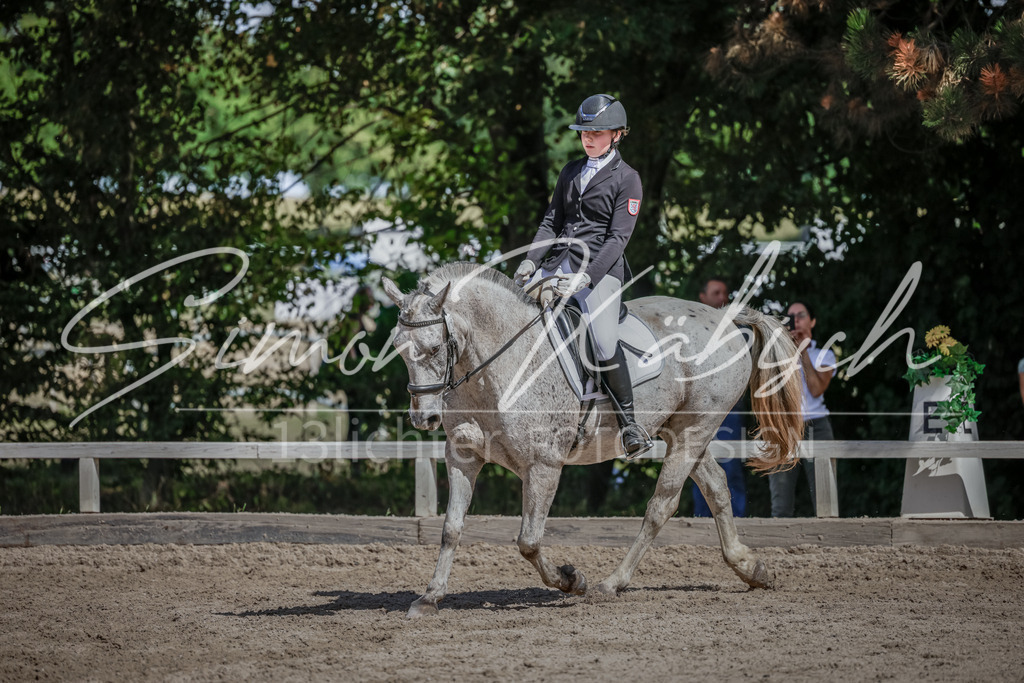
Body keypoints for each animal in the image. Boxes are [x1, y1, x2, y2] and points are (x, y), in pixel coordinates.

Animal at [381, 262, 804, 618]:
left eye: (435, 348)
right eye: (398, 348)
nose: (424, 417)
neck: (496, 368)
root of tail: (726, 318)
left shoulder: (544, 465)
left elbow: (528, 540)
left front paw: (572, 580)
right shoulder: (463, 457)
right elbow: (451, 529)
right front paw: (430, 598)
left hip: (694, 430)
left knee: (661, 505)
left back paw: (610, 584)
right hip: (680, 431)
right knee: (716, 487)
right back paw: (752, 569)